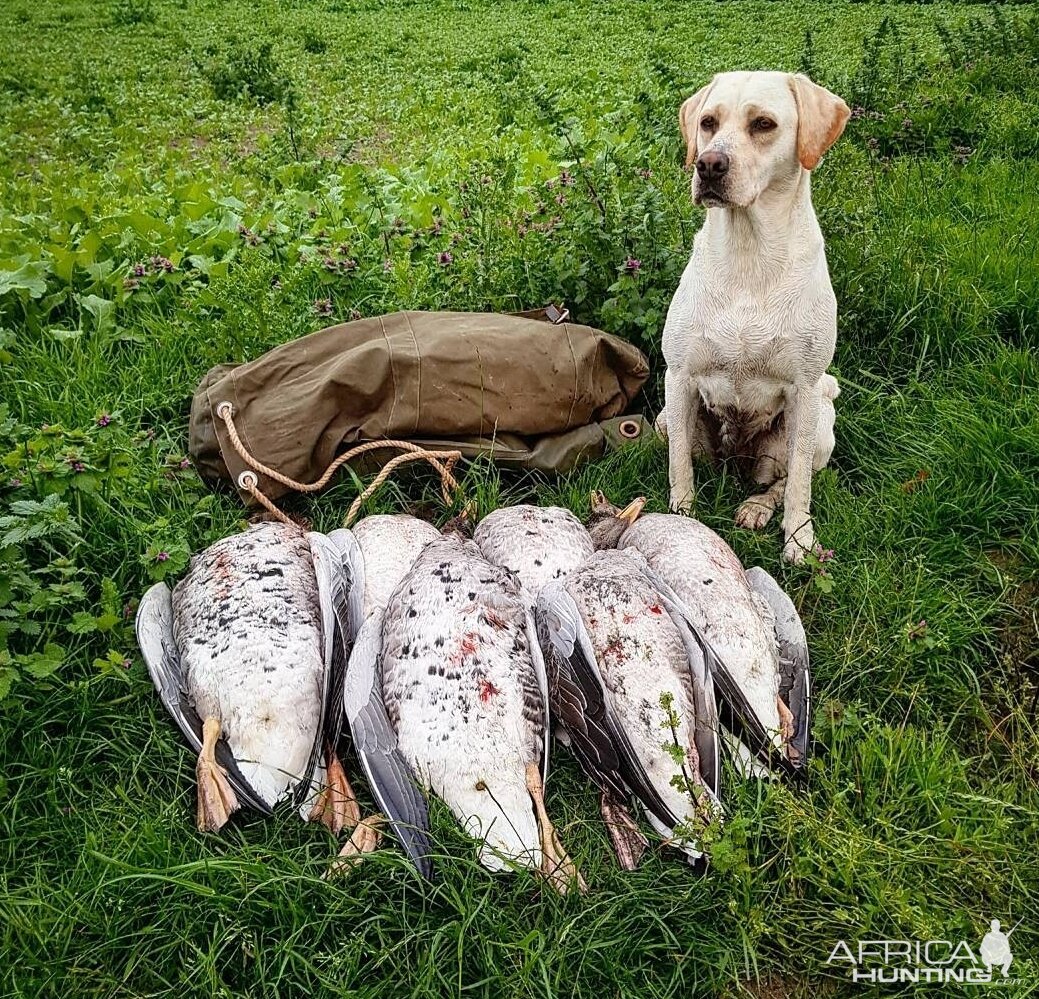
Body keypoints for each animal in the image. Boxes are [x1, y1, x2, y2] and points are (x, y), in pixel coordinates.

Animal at [660, 72, 847, 560]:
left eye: (763, 123)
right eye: (708, 122)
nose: (708, 165)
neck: (749, 252)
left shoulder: (804, 389)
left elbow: (798, 484)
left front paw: (799, 539)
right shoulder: (678, 377)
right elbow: (680, 469)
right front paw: (680, 519)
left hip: (822, 419)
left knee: (782, 480)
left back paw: (757, 508)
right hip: (665, 417)